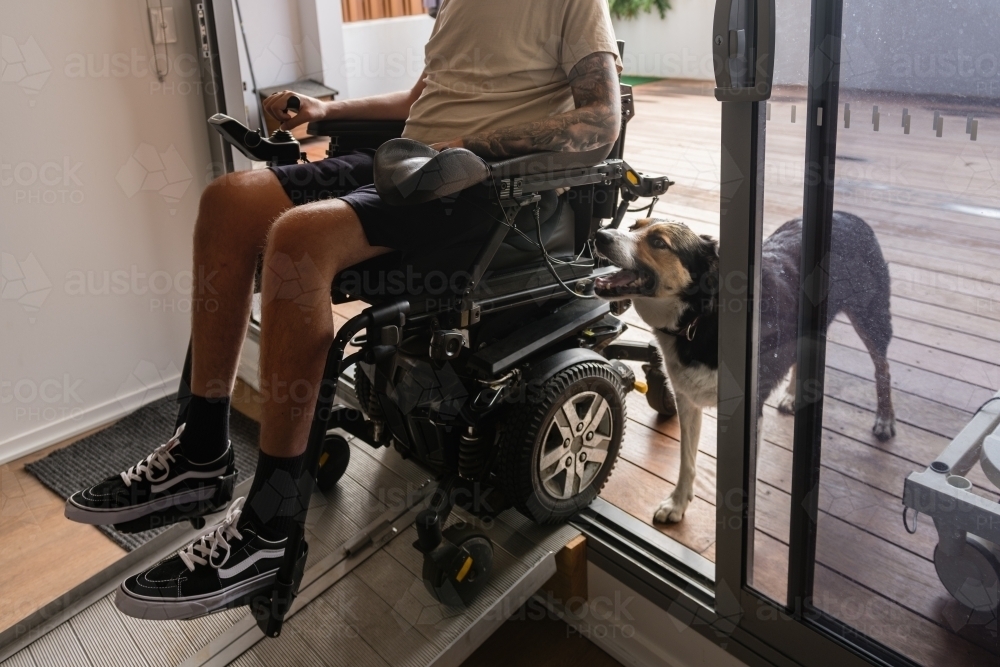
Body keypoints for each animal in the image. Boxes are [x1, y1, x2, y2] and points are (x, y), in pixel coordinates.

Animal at [592, 211, 900, 524]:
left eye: (658, 243)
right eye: (634, 226)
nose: (600, 235)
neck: (701, 317)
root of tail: (846, 214)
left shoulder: (749, 414)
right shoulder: (687, 400)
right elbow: (686, 460)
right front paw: (677, 504)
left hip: (871, 317)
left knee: (883, 368)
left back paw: (885, 419)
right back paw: (792, 394)